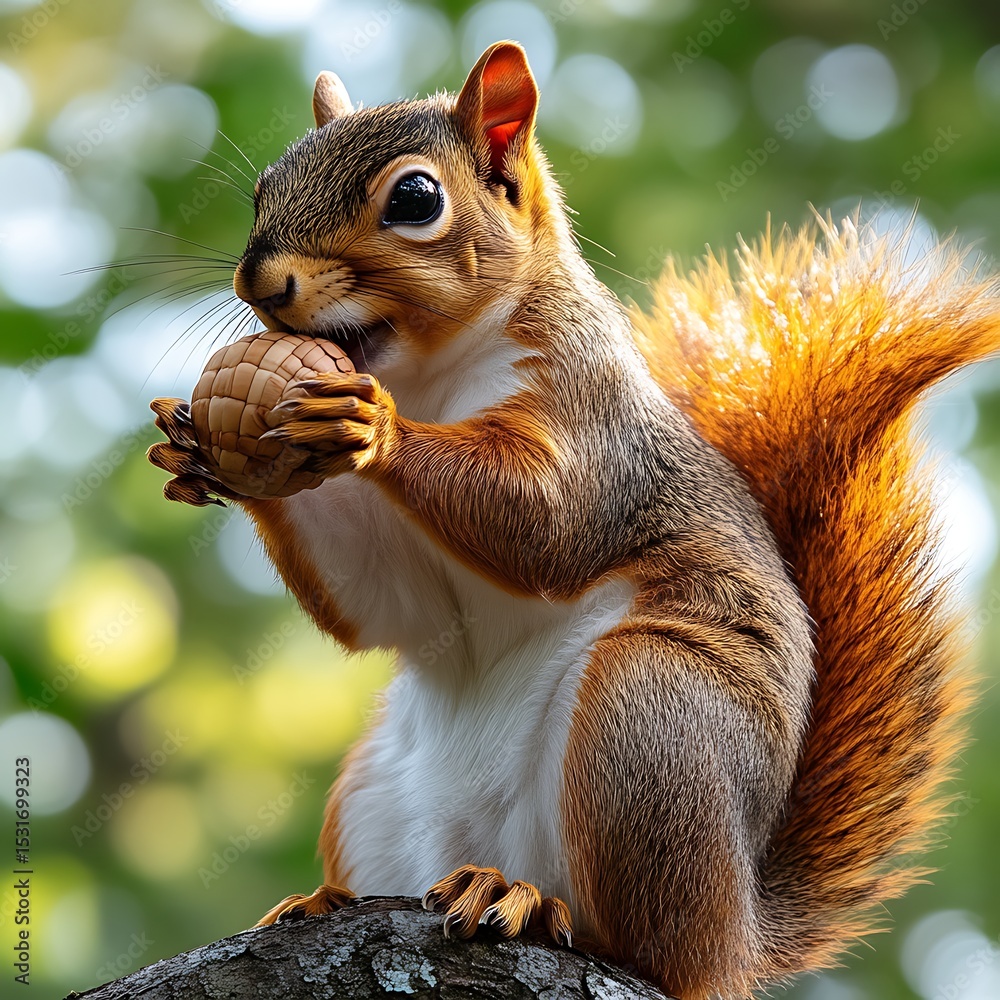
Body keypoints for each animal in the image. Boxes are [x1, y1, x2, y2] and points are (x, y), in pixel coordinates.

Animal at [147, 41, 1000, 1000]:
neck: (430, 377)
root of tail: (740, 930)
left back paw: (530, 905)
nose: (260, 279)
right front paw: (198, 448)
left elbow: (544, 528)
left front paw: (375, 428)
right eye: (264, 184)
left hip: (653, 720)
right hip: (375, 791)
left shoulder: (595, 427)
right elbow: (385, 606)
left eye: (415, 199)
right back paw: (333, 899)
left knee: (646, 943)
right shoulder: (405, 580)